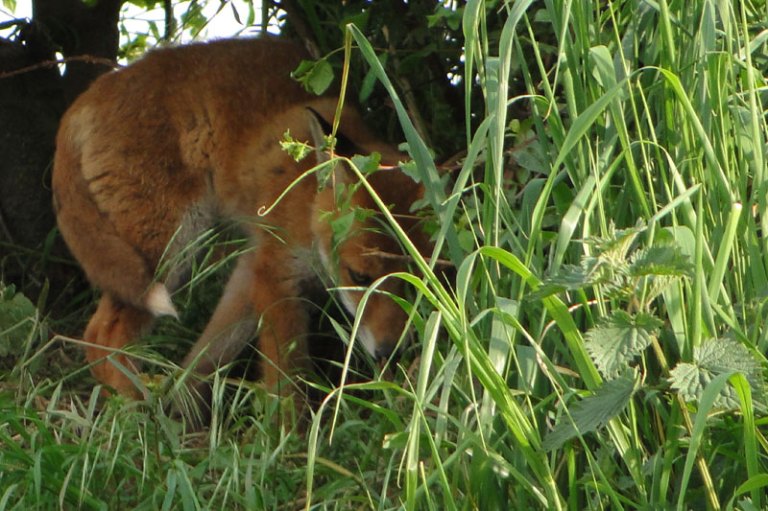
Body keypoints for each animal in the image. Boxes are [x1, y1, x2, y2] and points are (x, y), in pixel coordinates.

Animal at [52, 38, 431, 407]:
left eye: (418, 282)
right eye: (359, 277)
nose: (390, 352)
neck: (307, 196)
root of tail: (89, 96)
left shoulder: (252, 265)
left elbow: (208, 355)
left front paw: (186, 412)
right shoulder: (275, 272)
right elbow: (286, 383)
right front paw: (289, 429)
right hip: (169, 247)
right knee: (101, 337)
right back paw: (137, 413)